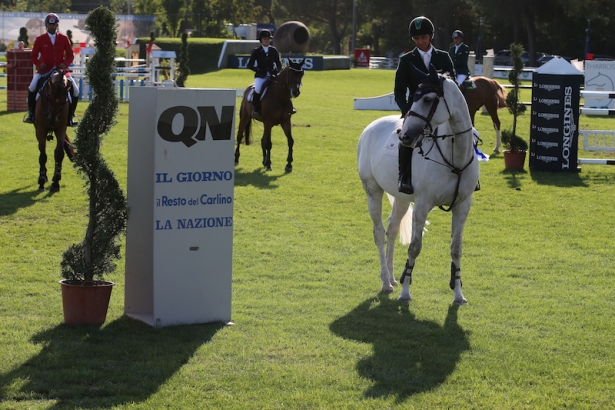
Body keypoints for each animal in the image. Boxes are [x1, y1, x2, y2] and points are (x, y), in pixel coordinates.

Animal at [356, 66, 482, 304]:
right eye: (414, 96)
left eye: (428, 99)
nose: (405, 137)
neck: (455, 158)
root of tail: (371, 127)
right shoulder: (423, 204)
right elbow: (415, 247)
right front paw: (406, 293)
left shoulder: (463, 205)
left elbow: (456, 248)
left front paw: (458, 294)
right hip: (373, 190)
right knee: (379, 232)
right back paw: (386, 283)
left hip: (402, 198)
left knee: (392, 229)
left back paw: (393, 277)